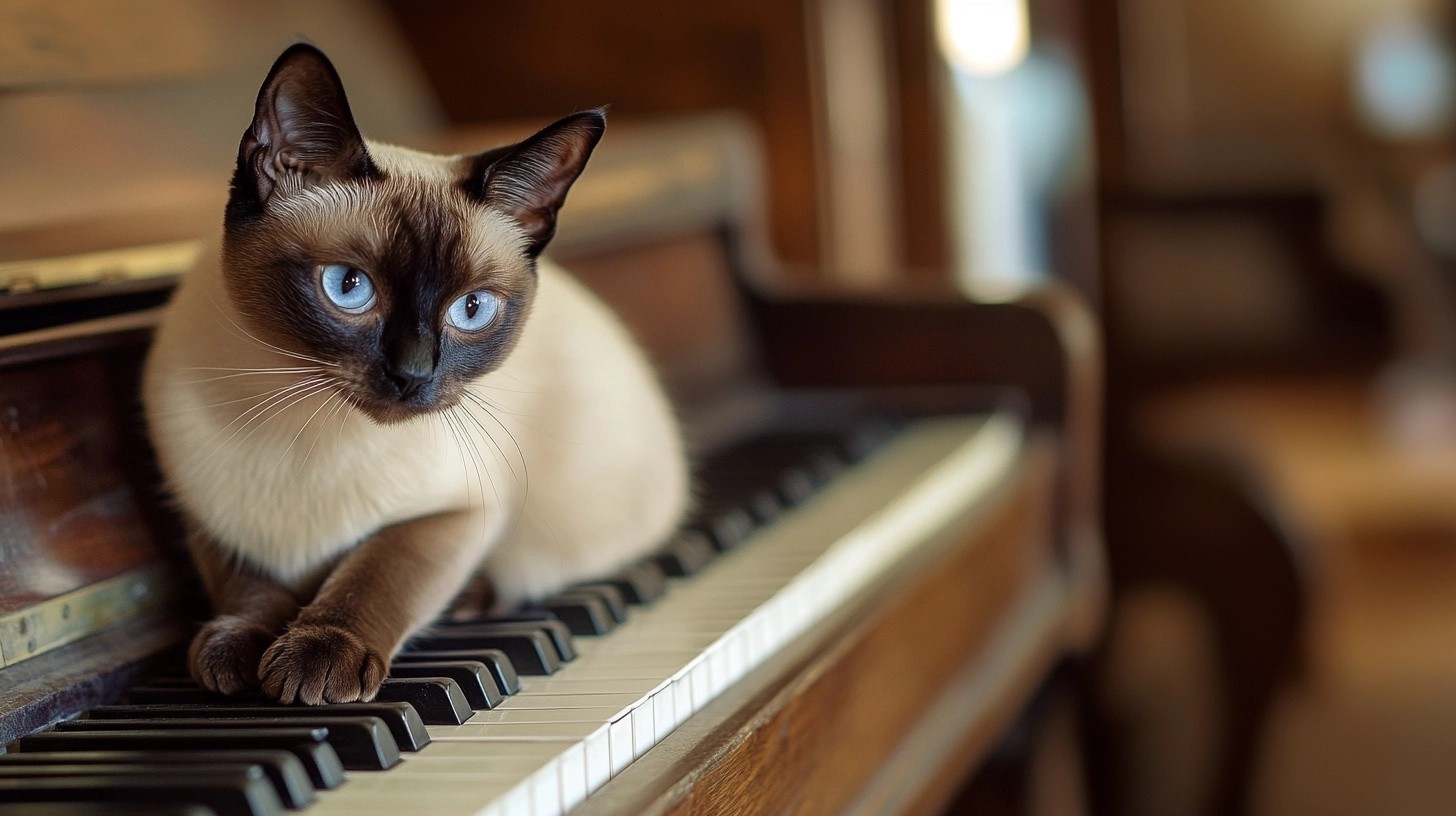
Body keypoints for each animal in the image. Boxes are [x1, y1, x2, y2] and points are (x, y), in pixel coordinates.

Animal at [144, 44, 690, 705]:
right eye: (348, 287)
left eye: (472, 309)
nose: (413, 374)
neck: (300, 417)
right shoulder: (206, 511)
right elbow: (246, 584)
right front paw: (236, 651)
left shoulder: (456, 515)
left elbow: (378, 573)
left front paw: (316, 659)